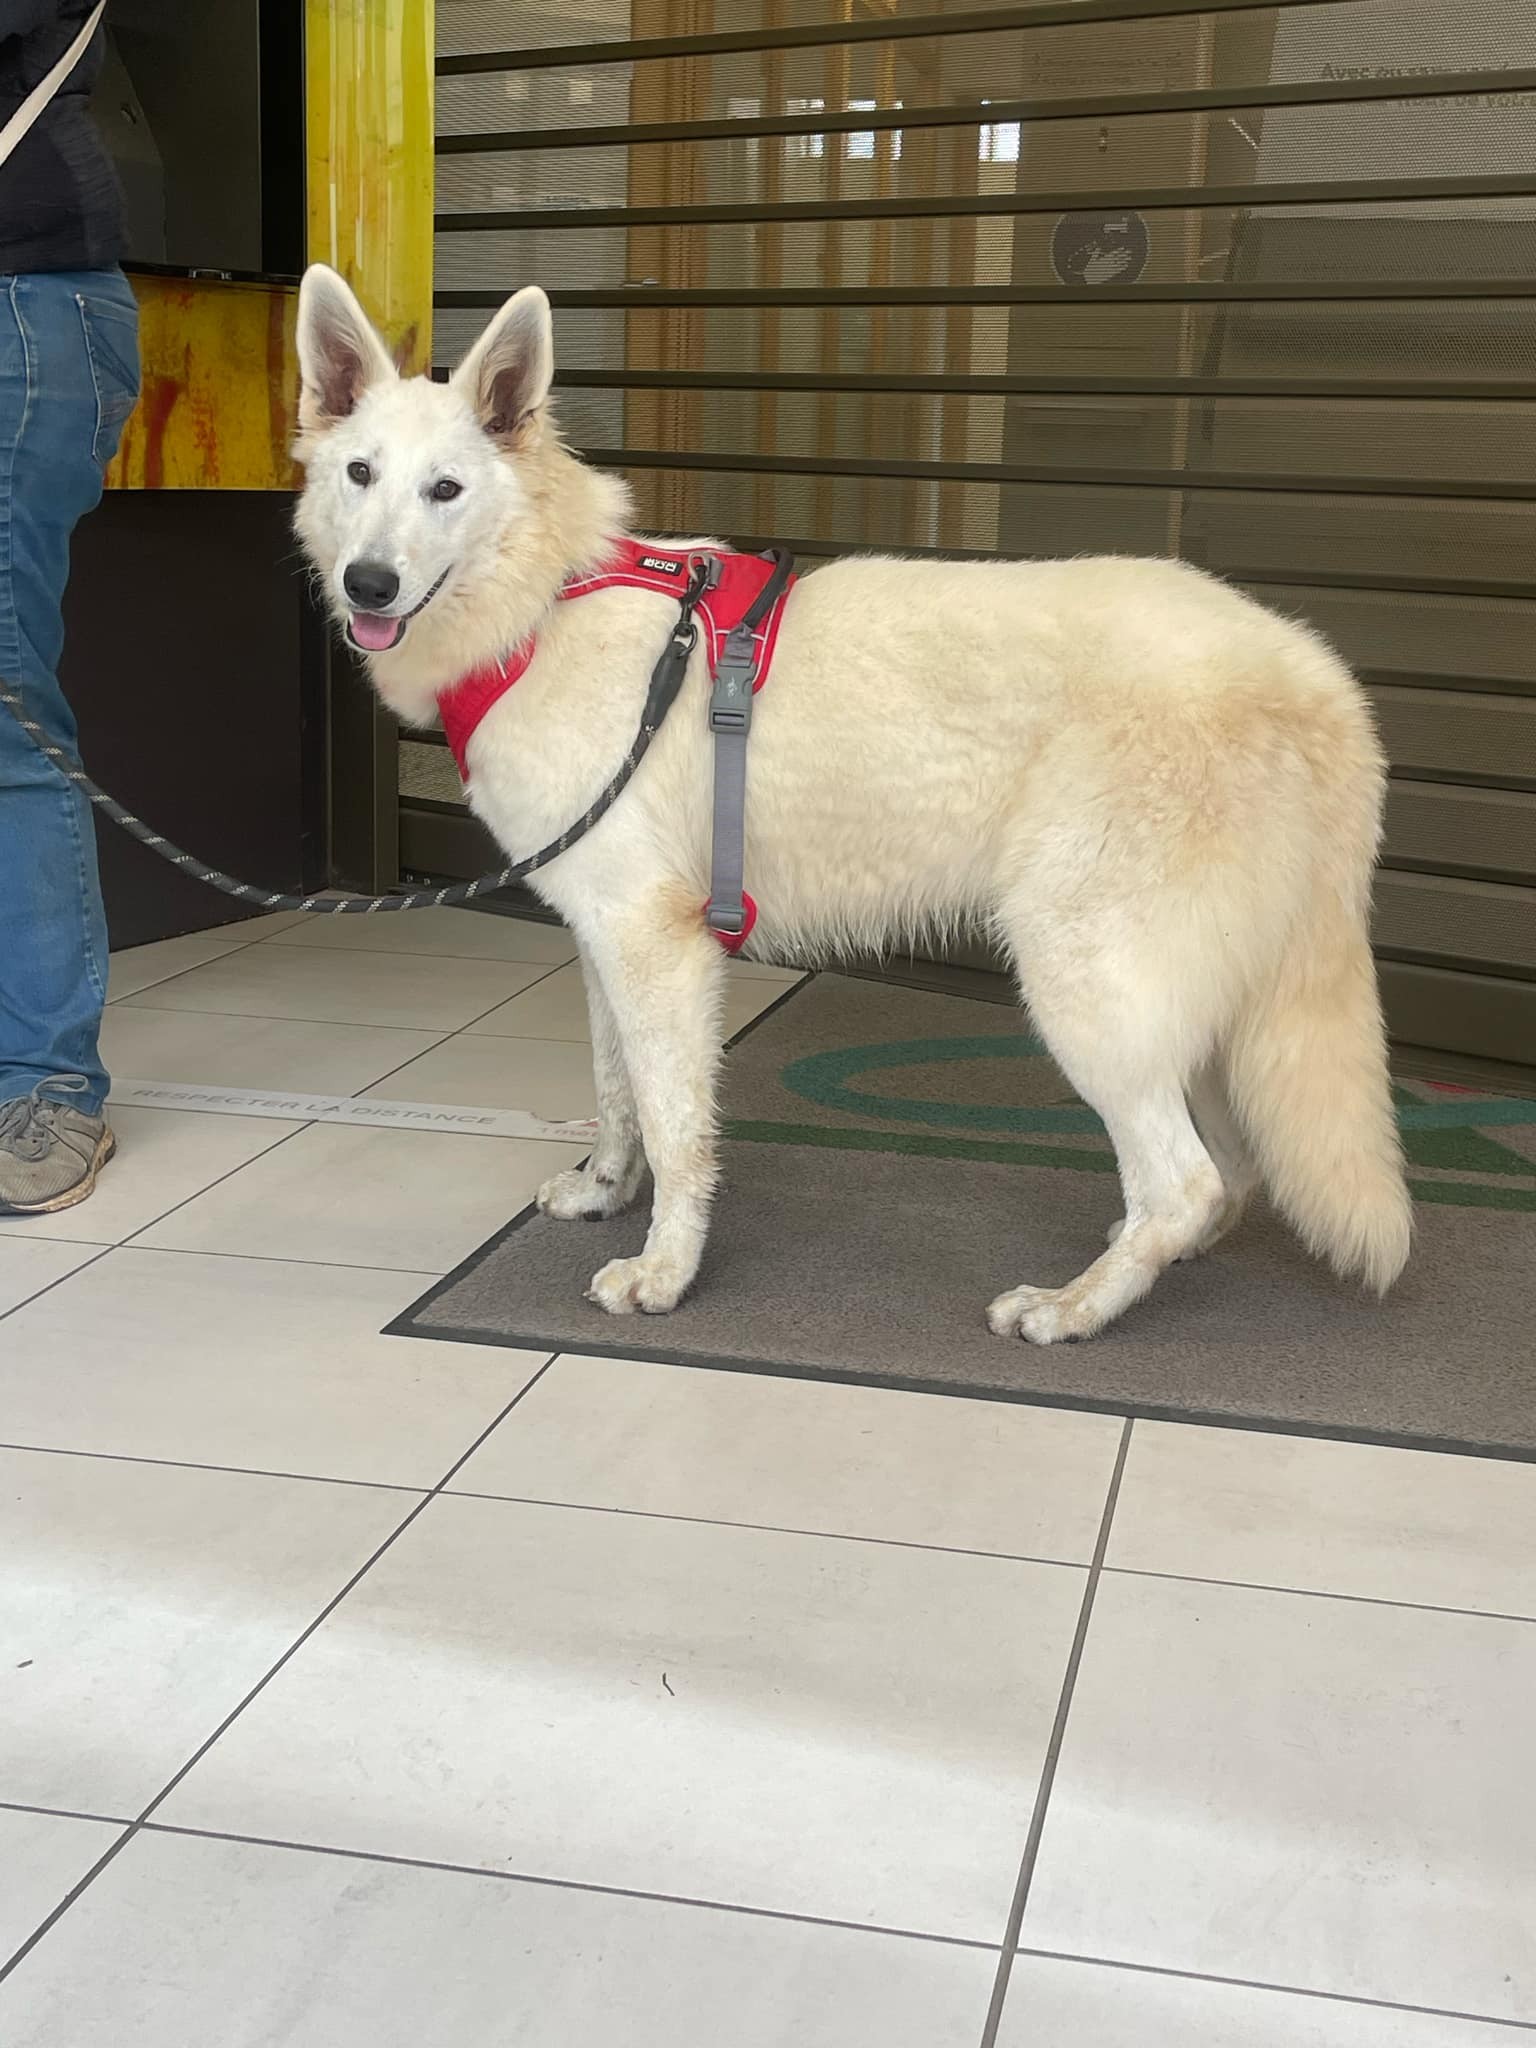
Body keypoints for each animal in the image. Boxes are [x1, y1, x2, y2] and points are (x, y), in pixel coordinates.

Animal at [294, 264, 1417, 1343]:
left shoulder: (656, 947)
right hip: (1196, 1002)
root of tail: (1321, 679)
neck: (546, 600)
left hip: (1089, 984)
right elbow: (619, 1095)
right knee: (1226, 1175)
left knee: (1185, 1182)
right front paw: (608, 1192)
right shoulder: (600, 937)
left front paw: (666, 1272)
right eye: (360, 475)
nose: (368, 585)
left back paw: (1074, 1309)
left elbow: (675, 1124)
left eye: (445, 490)